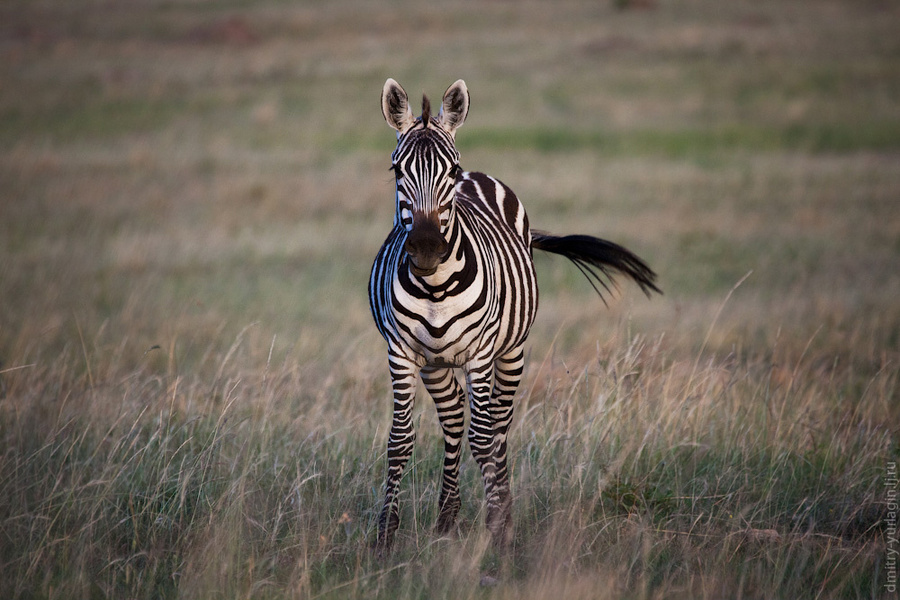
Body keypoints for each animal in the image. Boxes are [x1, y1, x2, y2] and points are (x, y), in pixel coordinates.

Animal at [368, 79, 660, 552]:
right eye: (397, 172)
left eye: (449, 172)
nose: (427, 250)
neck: (435, 287)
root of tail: (482, 175)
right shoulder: (401, 353)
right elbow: (400, 440)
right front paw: (385, 536)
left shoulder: (482, 353)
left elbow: (485, 438)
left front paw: (498, 530)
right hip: (436, 363)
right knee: (455, 420)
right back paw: (446, 520)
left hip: (511, 353)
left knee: (498, 428)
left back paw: (502, 513)